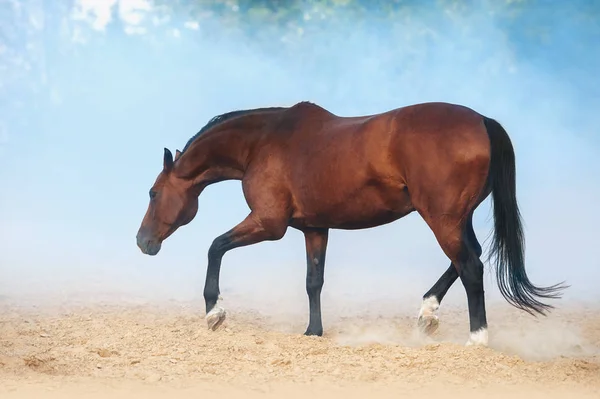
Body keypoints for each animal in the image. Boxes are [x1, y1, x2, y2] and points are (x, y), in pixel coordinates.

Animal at [136, 101, 568, 346]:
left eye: (153, 193)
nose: (143, 241)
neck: (263, 142)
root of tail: (481, 121)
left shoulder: (269, 224)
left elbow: (215, 246)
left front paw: (214, 312)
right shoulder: (314, 228)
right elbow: (314, 281)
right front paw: (313, 332)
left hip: (442, 219)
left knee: (471, 267)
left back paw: (476, 340)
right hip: (455, 217)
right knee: (468, 258)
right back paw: (427, 313)